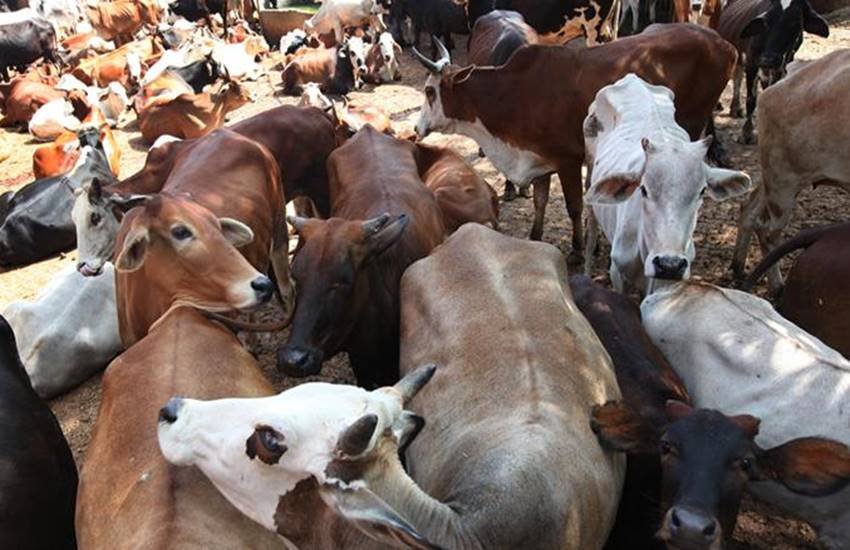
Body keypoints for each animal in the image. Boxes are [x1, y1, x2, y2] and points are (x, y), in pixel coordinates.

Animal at [415, 24, 737, 260]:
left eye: (430, 91)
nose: (417, 127)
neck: (515, 94)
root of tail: (723, 43)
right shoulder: (538, 158)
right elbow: (540, 201)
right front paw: (535, 237)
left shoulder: (567, 160)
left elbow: (574, 206)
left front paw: (578, 250)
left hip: (692, 126)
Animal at [582, 74, 751, 294]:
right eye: (643, 189)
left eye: (701, 192)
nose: (669, 264)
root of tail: (632, 78)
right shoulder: (617, 272)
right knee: (591, 232)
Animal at [717, 0, 828, 144]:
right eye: (765, 21)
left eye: (796, 23)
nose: (768, 59)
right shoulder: (752, 63)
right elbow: (751, 99)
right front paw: (747, 132)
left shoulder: (782, 67)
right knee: (737, 76)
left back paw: (735, 108)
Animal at [731, 49, 850, 288]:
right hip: (783, 182)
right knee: (766, 230)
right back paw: (776, 287)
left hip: (771, 174)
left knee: (748, 207)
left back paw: (738, 267)